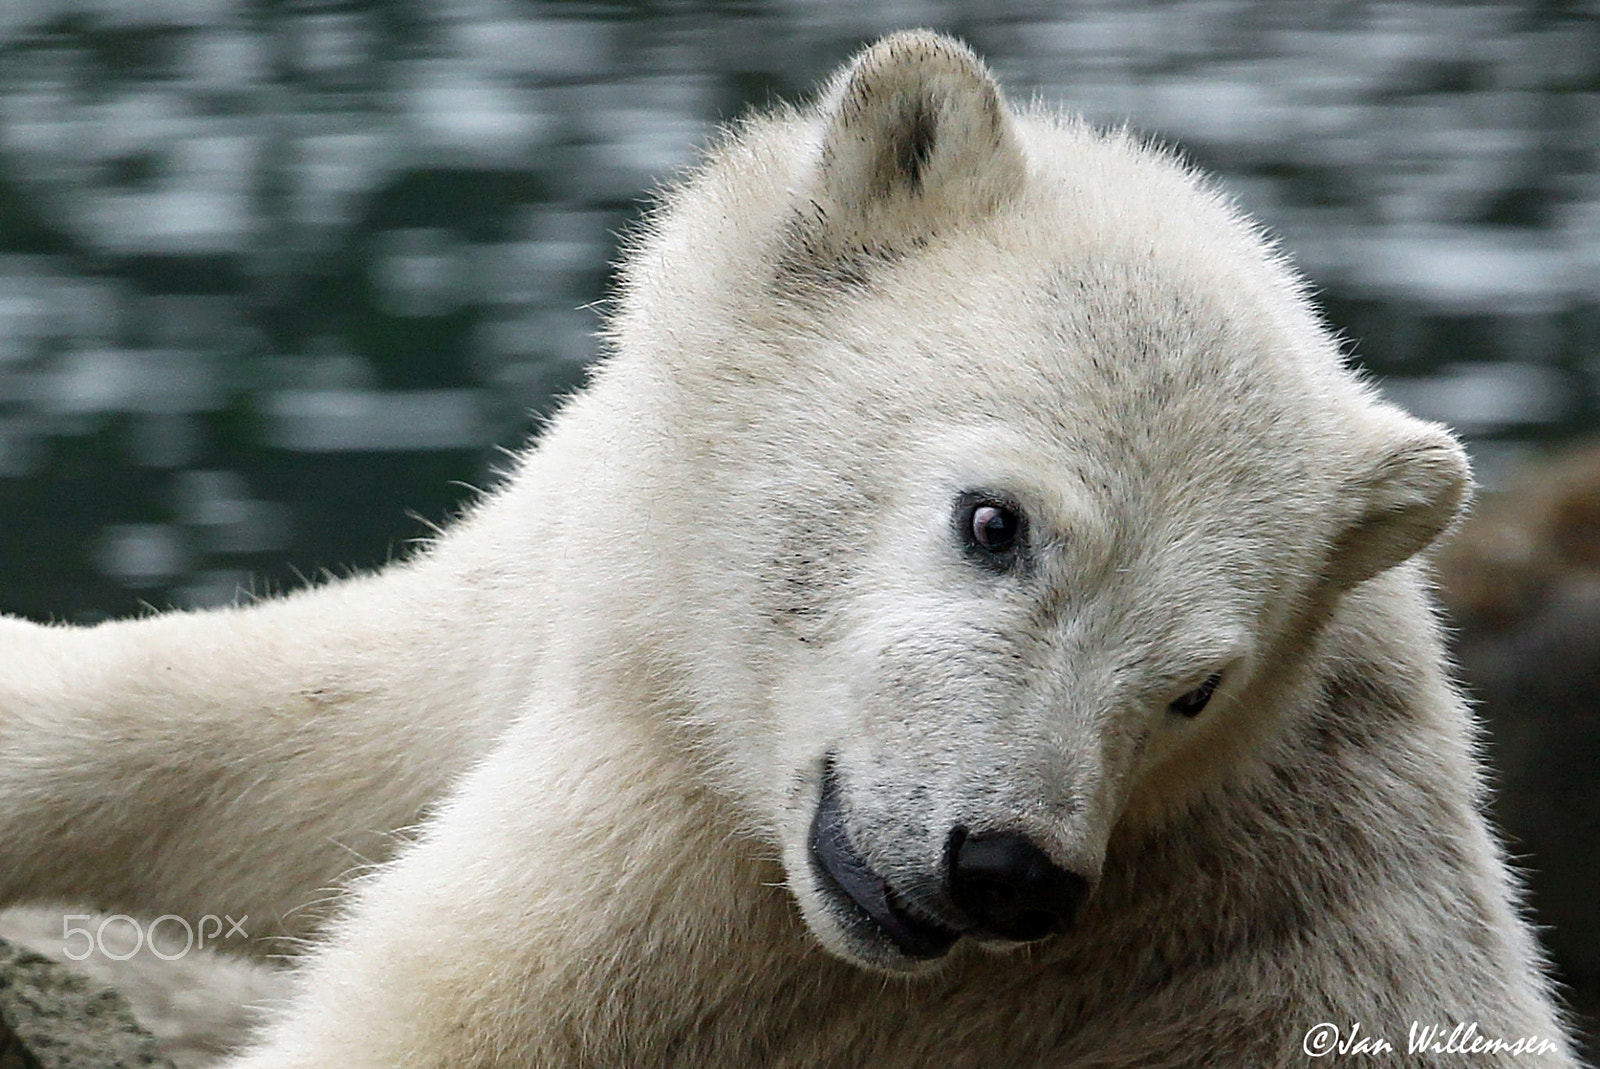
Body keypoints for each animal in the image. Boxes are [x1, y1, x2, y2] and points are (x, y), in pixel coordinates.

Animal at [0, 29, 1574, 1062]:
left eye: (1197, 685)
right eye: (994, 522)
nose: (1003, 867)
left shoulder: (700, 908)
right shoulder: (612, 602)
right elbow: (315, 735)